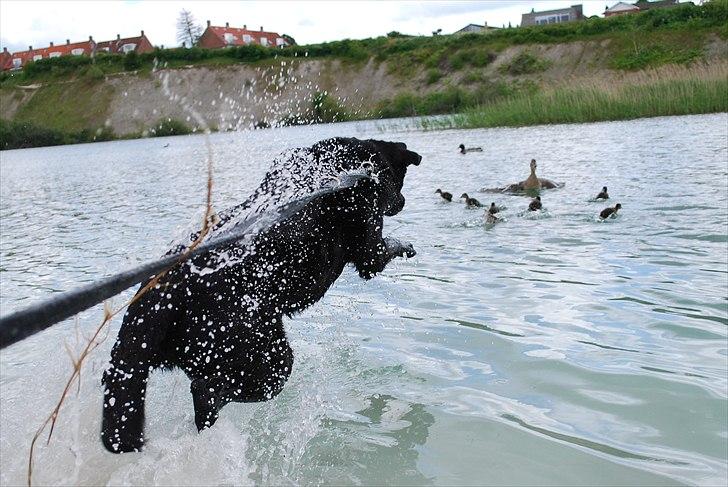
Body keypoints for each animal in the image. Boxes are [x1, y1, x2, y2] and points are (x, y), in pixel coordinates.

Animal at [101, 137, 420, 454]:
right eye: (401, 180)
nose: (404, 202)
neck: (347, 167)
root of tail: (152, 303)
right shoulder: (368, 240)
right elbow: (382, 251)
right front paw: (406, 246)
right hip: (264, 354)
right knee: (209, 389)